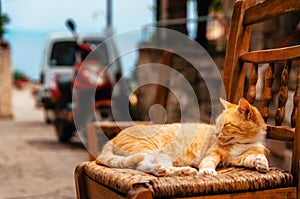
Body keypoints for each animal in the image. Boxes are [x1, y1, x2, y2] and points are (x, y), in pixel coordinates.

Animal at [96, 97, 270, 176]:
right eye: (217, 124)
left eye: (225, 125)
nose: (216, 133)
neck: (243, 143)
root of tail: (113, 139)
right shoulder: (212, 154)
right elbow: (208, 162)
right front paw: (207, 171)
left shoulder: (238, 159)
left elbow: (252, 158)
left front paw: (261, 163)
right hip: (151, 149)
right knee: (144, 165)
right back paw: (181, 171)